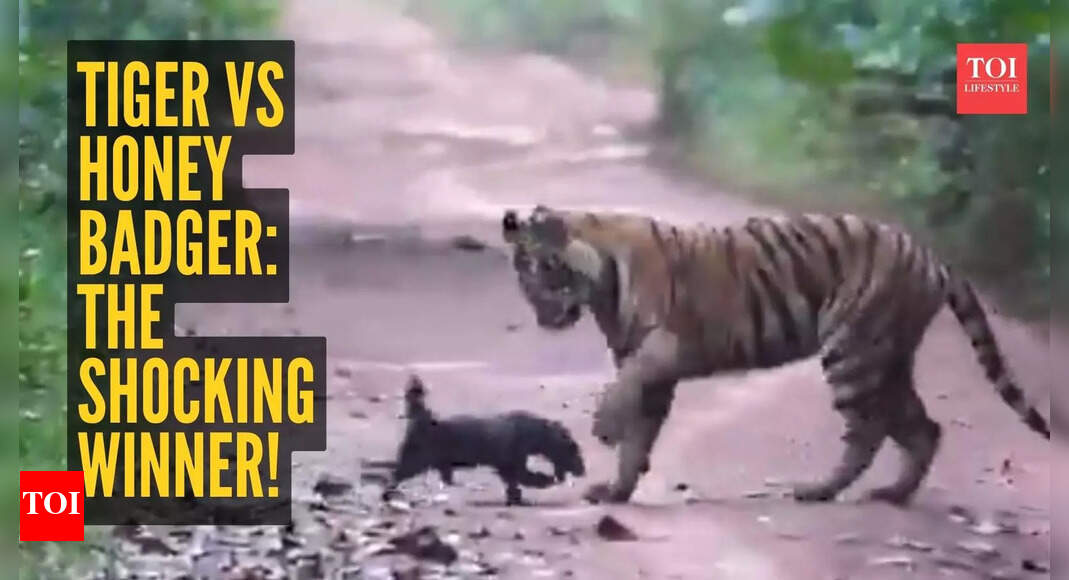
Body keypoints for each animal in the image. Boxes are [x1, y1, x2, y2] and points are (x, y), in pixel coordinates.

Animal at [501, 205, 1049, 506]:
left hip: (853, 352)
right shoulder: (652, 370)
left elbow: (627, 392)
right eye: (523, 285)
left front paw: (604, 427)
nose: (545, 319)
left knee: (867, 430)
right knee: (922, 428)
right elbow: (640, 435)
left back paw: (818, 490)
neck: (601, 283)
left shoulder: (664, 348)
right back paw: (892, 495)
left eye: (544, 275)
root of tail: (932, 256)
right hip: (888, 359)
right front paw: (616, 491)